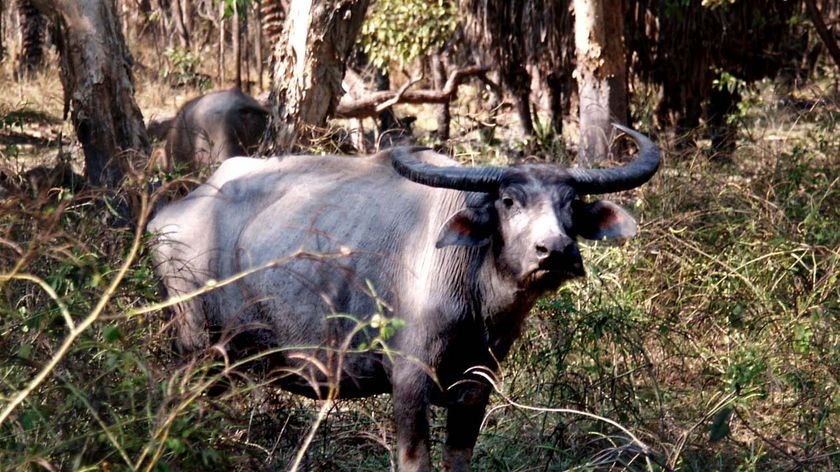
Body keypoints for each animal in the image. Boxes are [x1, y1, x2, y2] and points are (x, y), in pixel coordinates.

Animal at [151, 123, 664, 470]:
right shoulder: (409, 380)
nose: (554, 251)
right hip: (193, 347)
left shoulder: (475, 387)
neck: (475, 297)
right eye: (508, 200)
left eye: (570, 203)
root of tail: (170, 215)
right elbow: (415, 461)